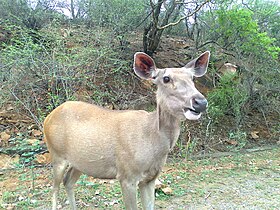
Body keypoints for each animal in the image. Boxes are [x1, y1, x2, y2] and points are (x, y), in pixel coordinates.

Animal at [43, 50, 210, 209]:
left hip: (80, 162)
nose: (200, 102)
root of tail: (48, 118)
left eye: (192, 78)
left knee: (68, 181)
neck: (151, 141)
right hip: (57, 154)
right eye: (166, 78)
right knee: (54, 188)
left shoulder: (151, 178)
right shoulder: (126, 175)